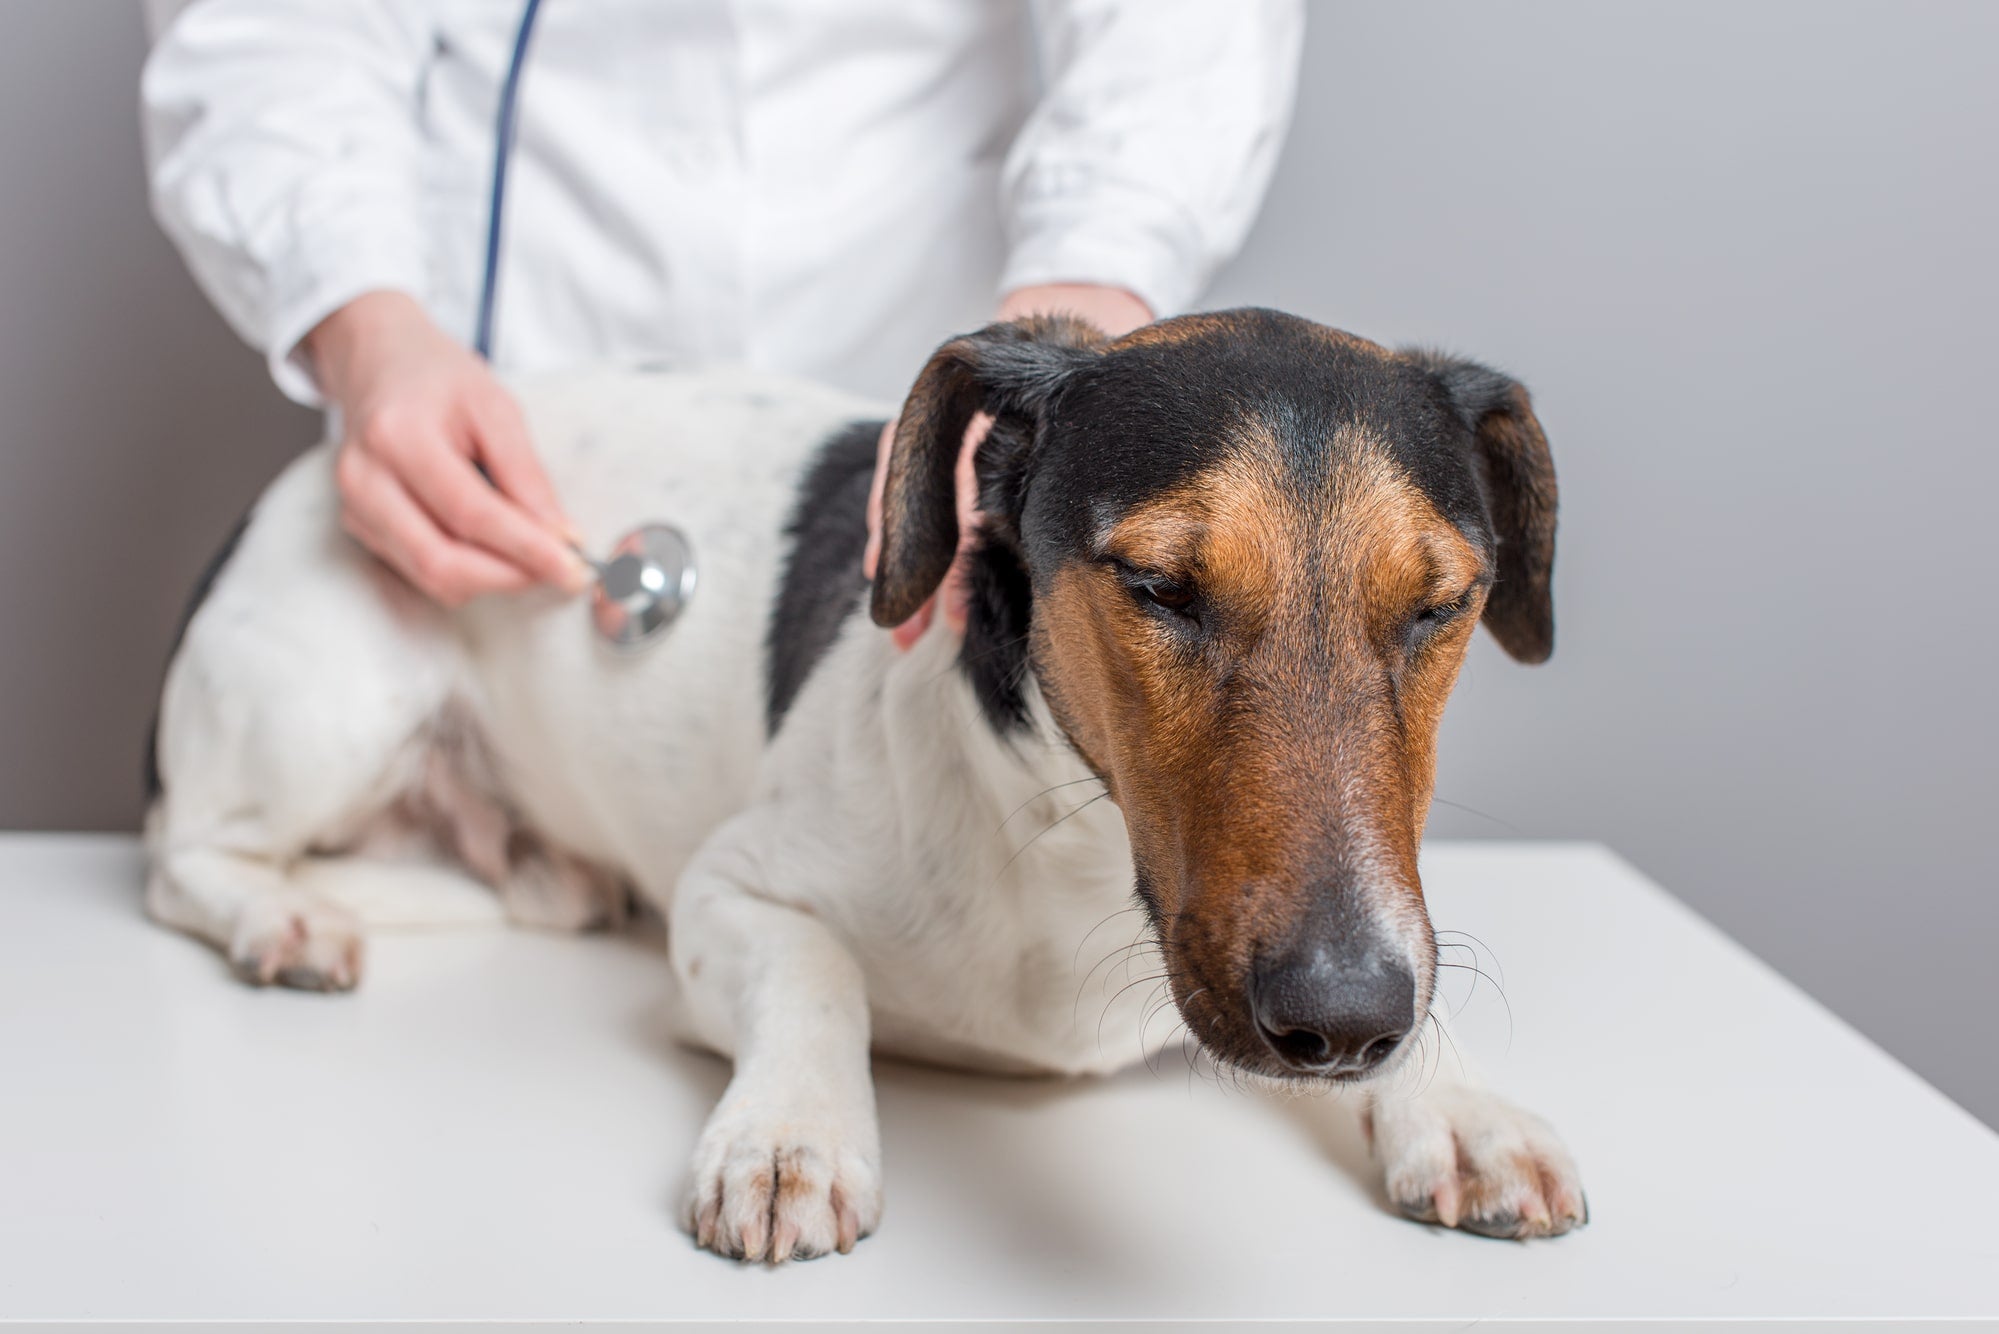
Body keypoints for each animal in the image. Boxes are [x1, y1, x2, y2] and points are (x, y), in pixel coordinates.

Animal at [144, 310, 1575, 1264]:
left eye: (1442, 604)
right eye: (1160, 586)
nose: (1345, 1019)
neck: (1071, 848)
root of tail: (311, 472)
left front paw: (1457, 1104)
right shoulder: (729, 892)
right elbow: (815, 970)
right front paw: (789, 1132)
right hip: (323, 706)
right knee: (178, 852)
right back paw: (282, 914)